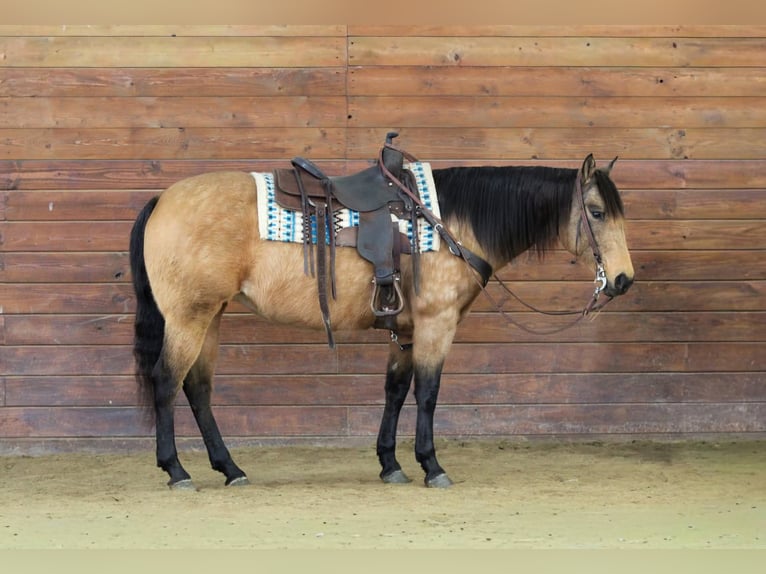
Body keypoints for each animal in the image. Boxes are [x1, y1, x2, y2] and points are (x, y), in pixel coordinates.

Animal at [129, 145, 634, 490]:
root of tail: (161, 200)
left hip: (209, 316)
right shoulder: (436, 323)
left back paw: (230, 468)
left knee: (197, 389)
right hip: (189, 317)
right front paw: (432, 465)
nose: (623, 279)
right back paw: (176, 470)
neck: (449, 223)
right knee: (166, 381)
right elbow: (427, 393)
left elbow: (395, 391)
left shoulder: (406, 331)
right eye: (596, 212)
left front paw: (390, 464)